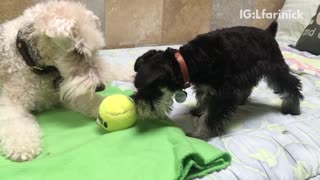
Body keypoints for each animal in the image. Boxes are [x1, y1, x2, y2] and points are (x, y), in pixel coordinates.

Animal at [0, 1, 129, 162]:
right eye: (77, 51)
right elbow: (15, 122)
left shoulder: (65, 92)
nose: (100, 86)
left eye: (95, 48)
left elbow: (90, 101)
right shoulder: (11, 101)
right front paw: (22, 147)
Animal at [132, 21, 302, 139]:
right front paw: (198, 111)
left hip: (275, 68)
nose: (136, 104)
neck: (189, 61)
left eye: (149, 88)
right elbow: (204, 101)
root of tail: (269, 33)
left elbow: (211, 116)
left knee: (292, 84)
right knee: (247, 87)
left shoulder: (222, 93)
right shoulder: (206, 87)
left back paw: (292, 107)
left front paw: (199, 134)